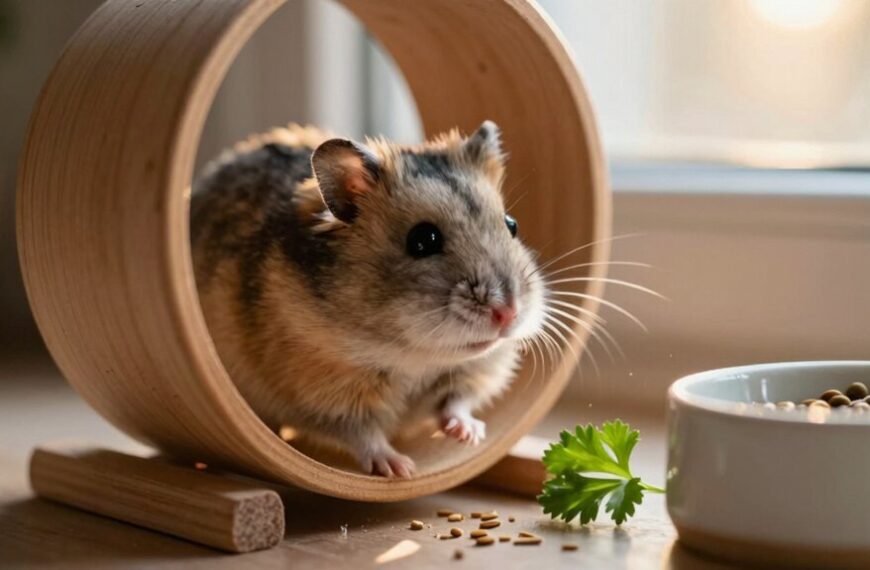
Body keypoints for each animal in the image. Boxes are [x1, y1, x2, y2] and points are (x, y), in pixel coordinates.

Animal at [190, 121, 546, 478]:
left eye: (511, 225)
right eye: (422, 240)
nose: (508, 313)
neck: (416, 356)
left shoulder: (475, 371)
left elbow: (456, 402)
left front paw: (468, 435)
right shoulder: (325, 394)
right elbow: (363, 433)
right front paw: (400, 469)